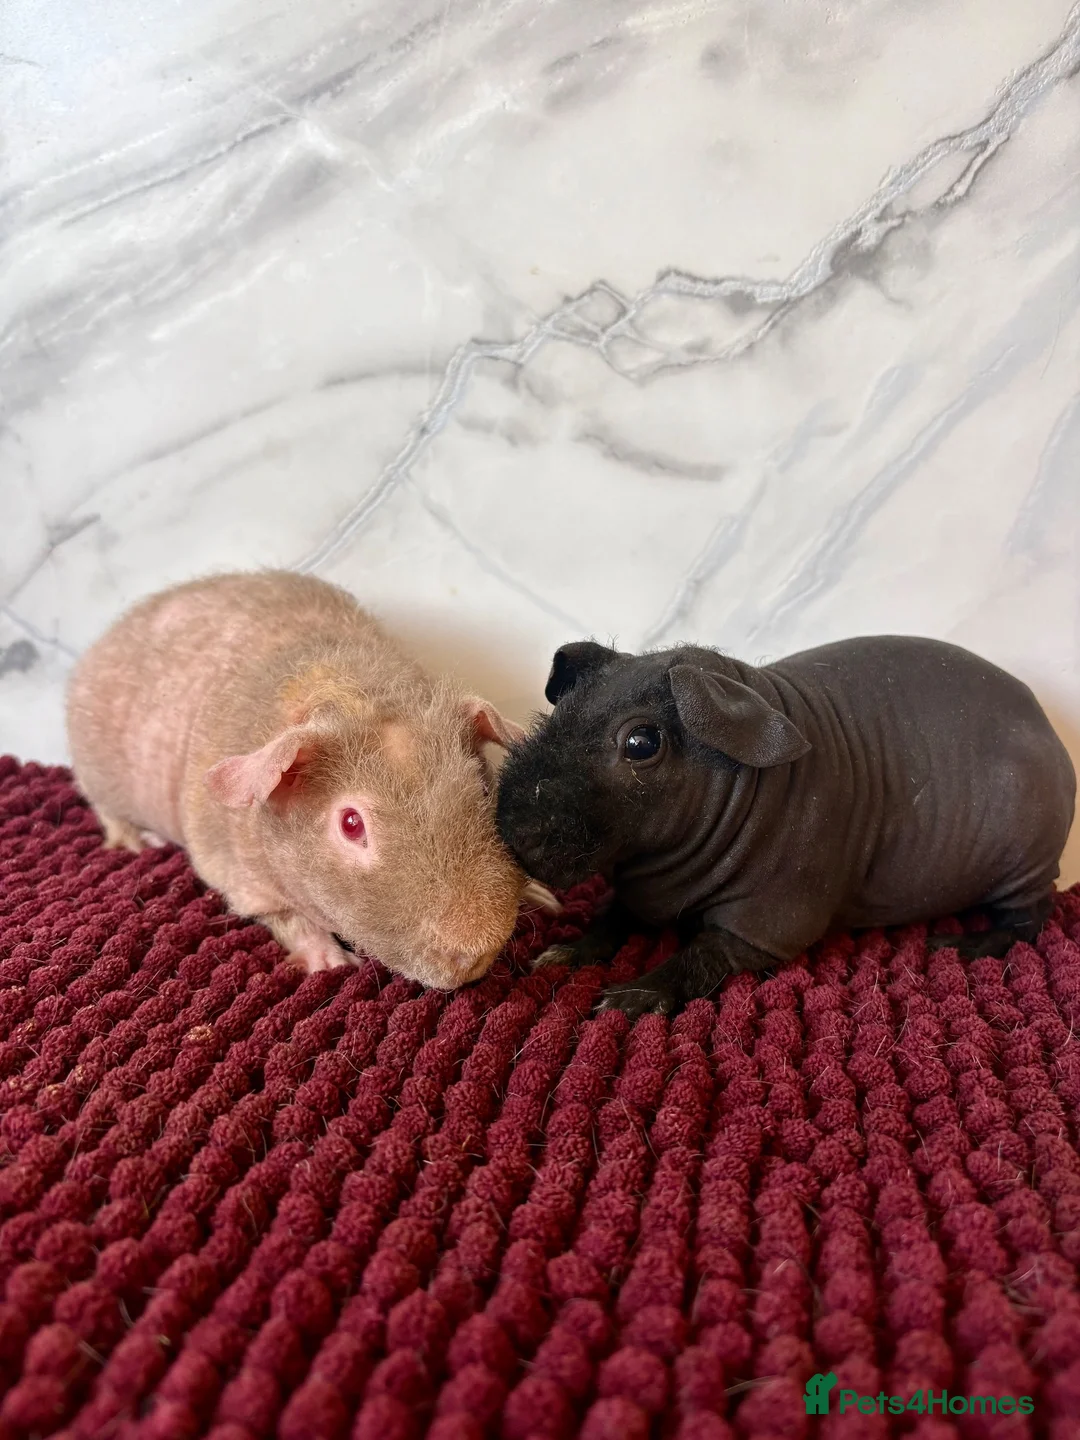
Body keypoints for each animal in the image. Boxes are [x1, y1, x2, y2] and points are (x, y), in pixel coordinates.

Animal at [67, 570, 556, 988]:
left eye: (484, 788)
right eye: (351, 823)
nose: (477, 952)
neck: (356, 691)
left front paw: (543, 896)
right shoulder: (237, 873)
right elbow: (287, 916)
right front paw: (331, 962)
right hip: (98, 779)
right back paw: (135, 841)